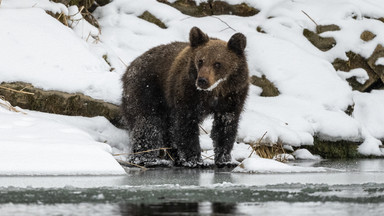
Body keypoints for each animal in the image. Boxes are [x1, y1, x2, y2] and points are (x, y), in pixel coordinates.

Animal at [121, 26, 250, 167]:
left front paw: (225, 160)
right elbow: (186, 127)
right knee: (147, 124)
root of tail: (130, 65)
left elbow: (225, 128)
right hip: (147, 90)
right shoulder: (187, 95)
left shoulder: (232, 98)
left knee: (166, 129)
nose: (202, 80)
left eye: (217, 63)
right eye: (200, 61)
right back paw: (146, 159)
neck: (213, 92)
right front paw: (194, 161)